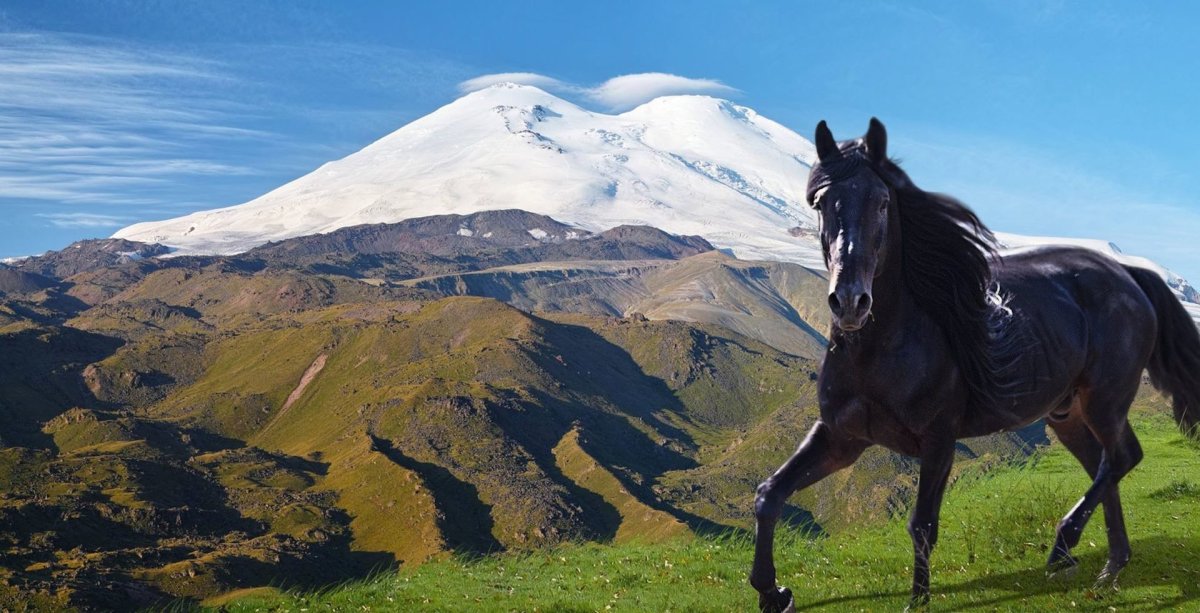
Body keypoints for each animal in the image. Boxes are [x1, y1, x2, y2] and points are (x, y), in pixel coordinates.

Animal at [748, 118, 1200, 611]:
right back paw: (1109, 566)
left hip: (1105, 399)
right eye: (821, 202)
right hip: (1068, 414)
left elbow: (922, 524)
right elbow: (769, 494)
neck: (882, 349)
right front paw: (774, 592)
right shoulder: (841, 437)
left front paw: (917, 600)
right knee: (1106, 463)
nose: (850, 302)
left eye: (882, 202)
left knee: (1121, 457)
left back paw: (1065, 547)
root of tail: (1128, 274)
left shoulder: (939, 439)